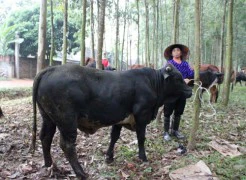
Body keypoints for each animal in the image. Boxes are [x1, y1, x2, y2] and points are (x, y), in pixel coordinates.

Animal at [30, 64, 192, 179]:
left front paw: (109, 157)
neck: (153, 83)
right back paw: (81, 173)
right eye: (177, 78)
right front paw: (143, 157)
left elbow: (114, 137)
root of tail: (51, 69)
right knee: (67, 145)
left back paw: (49, 165)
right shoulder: (141, 115)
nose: (190, 91)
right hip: (67, 121)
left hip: (48, 118)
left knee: (45, 138)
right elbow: (141, 138)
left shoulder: (119, 119)